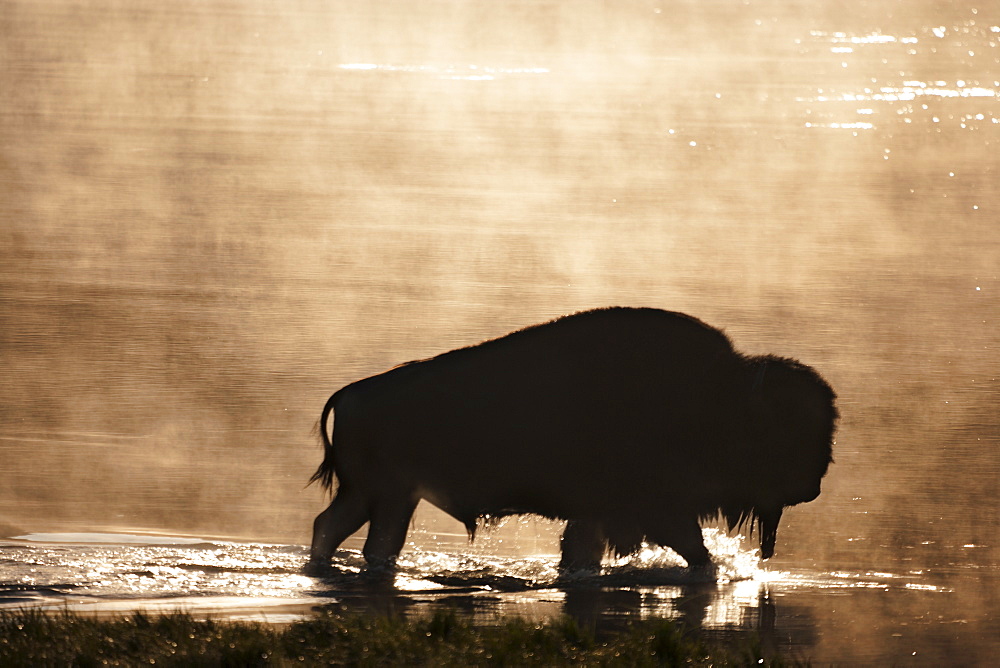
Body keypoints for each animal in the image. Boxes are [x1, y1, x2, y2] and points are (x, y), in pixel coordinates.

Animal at [308, 308, 840, 576]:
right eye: (788, 430)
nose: (812, 487)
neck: (722, 397)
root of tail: (351, 395)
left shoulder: (602, 514)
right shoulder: (655, 509)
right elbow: (695, 551)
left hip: (383, 498)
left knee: (340, 530)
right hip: (385, 496)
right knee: (354, 537)